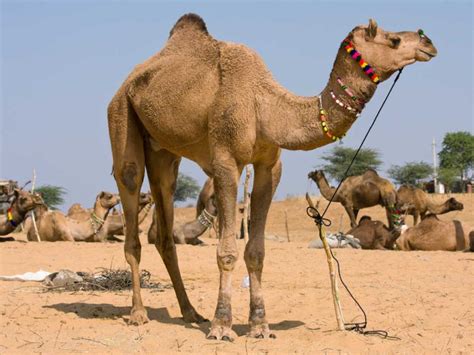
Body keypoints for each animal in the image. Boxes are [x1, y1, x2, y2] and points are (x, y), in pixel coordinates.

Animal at [107, 13, 436, 340]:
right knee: (131, 196)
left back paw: (190, 312)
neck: (264, 105)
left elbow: (257, 251)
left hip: (164, 152)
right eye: (393, 39)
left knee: (165, 226)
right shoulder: (226, 161)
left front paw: (260, 326)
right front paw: (222, 325)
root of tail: (127, 83)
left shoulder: (270, 166)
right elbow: (227, 251)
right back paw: (138, 314)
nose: (428, 42)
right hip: (121, 117)